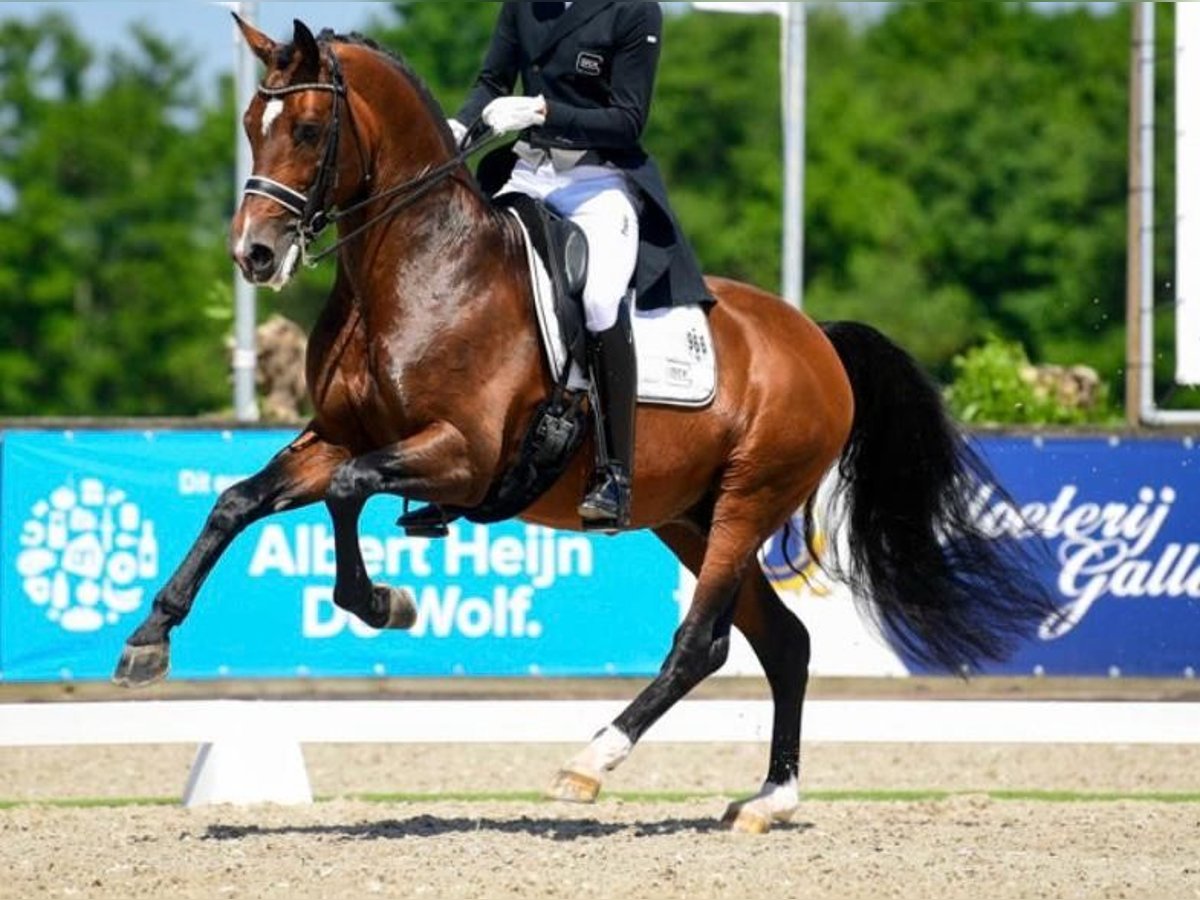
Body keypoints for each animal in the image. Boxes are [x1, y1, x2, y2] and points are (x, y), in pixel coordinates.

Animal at [113, 18, 1053, 833]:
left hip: (749, 499)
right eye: (251, 125)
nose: (254, 256)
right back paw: (766, 800)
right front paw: (149, 641)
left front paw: (386, 601)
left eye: (309, 130)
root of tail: (816, 338)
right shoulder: (341, 435)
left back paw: (591, 761)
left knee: (700, 642)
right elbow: (240, 501)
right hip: (687, 514)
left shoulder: (462, 458)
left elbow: (348, 492)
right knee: (779, 642)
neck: (415, 273)